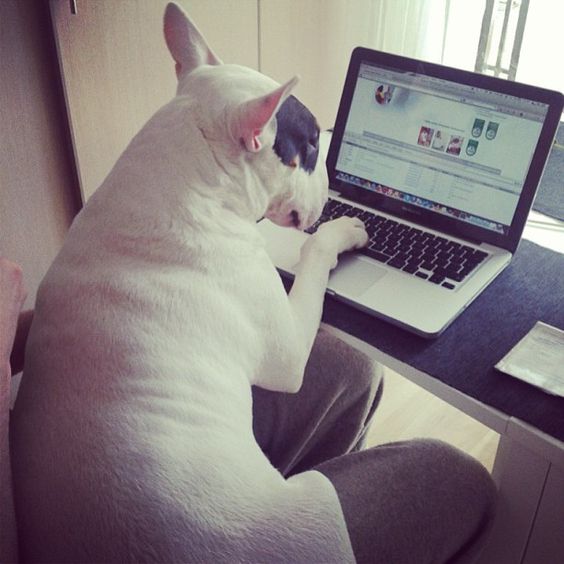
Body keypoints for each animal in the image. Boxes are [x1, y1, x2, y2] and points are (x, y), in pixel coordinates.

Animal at [12, 3, 370, 560]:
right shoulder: (290, 351)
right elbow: (314, 253)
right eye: (311, 146)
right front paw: (343, 229)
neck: (190, 176)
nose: (333, 189)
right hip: (318, 497)